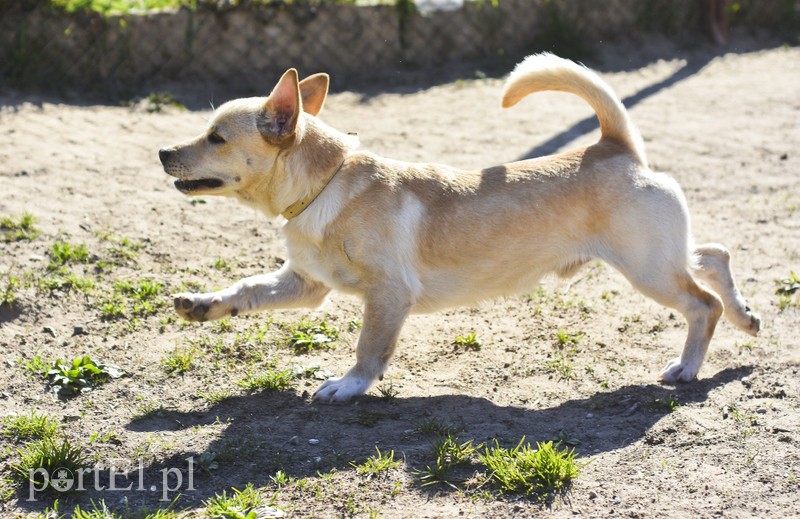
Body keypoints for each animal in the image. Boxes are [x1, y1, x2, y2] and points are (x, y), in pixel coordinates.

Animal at [158, 53, 764, 402]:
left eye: (215, 137)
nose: (163, 152)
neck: (327, 184)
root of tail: (613, 146)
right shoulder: (304, 285)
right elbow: (246, 289)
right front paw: (202, 305)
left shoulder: (387, 295)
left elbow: (368, 350)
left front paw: (348, 387)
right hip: (659, 257)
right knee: (715, 255)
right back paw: (747, 315)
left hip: (646, 268)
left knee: (703, 304)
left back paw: (688, 367)